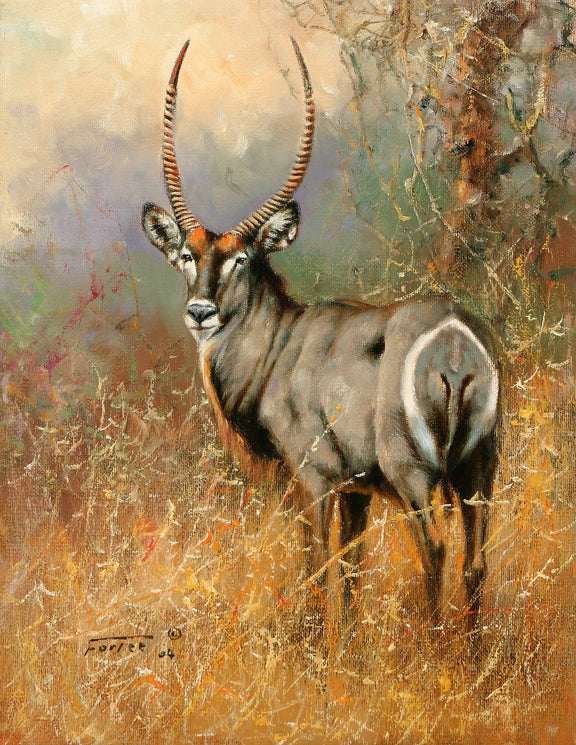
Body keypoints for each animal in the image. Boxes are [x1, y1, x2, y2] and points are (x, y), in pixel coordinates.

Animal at [142, 39, 499, 621]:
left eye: (242, 258)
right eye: (185, 256)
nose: (200, 312)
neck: (279, 348)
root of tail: (452, 338)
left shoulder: (314, 481)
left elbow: (314, 572)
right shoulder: (357, 490)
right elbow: (351, 575)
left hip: (413, 474)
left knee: (435, 551)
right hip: (480, 469)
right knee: (475, 563)